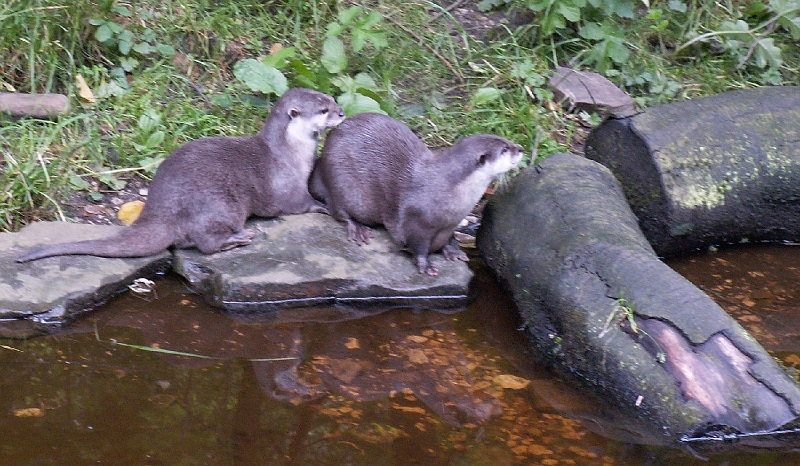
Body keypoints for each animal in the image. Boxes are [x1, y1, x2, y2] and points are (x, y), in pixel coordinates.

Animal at [17, 87, 346, 262]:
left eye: (332, 99)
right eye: (322, 110)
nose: (342, 112)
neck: (289, 152)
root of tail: (161, 209)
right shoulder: (287, 186)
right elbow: (298, 204)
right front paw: (323, 206)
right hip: (220, 204)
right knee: (205, 242)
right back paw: (238, 238)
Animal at [308, 111, 524, 274]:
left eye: (507, 141)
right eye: (505, 149)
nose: (520, 148)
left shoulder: (449, 225)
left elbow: (448, 238)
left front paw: (452, 250)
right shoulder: (416, 221)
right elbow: (417, 245)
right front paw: (425, 264)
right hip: (340, 181)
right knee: (338, 210)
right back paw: (357, 228)